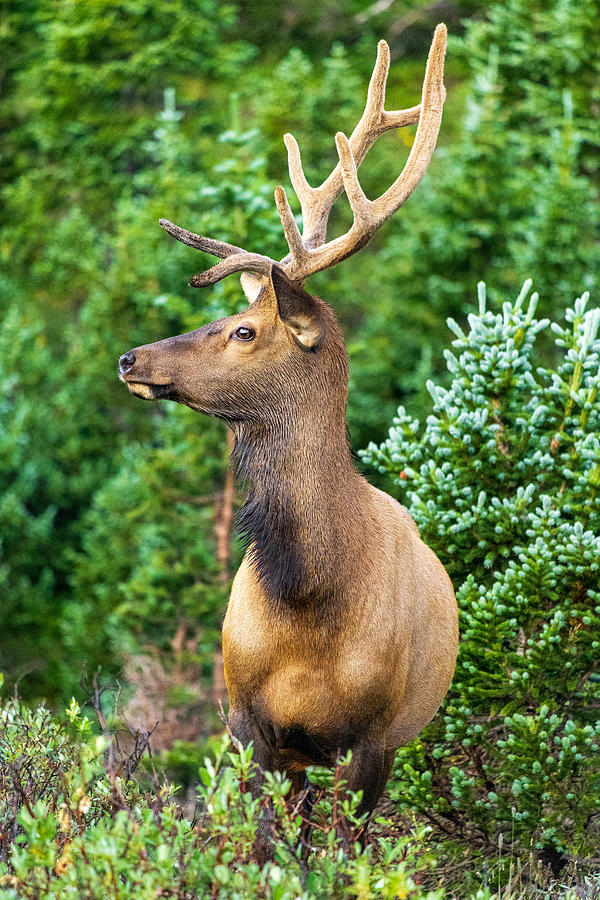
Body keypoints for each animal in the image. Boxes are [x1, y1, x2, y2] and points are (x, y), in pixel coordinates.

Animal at [118, 22, 460, 852]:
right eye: (228, 315)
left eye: (244, 330)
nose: (132, 358)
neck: (309, 598)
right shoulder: (248, 722)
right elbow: (260, 851)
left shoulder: (372, 739)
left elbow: (344, 855)